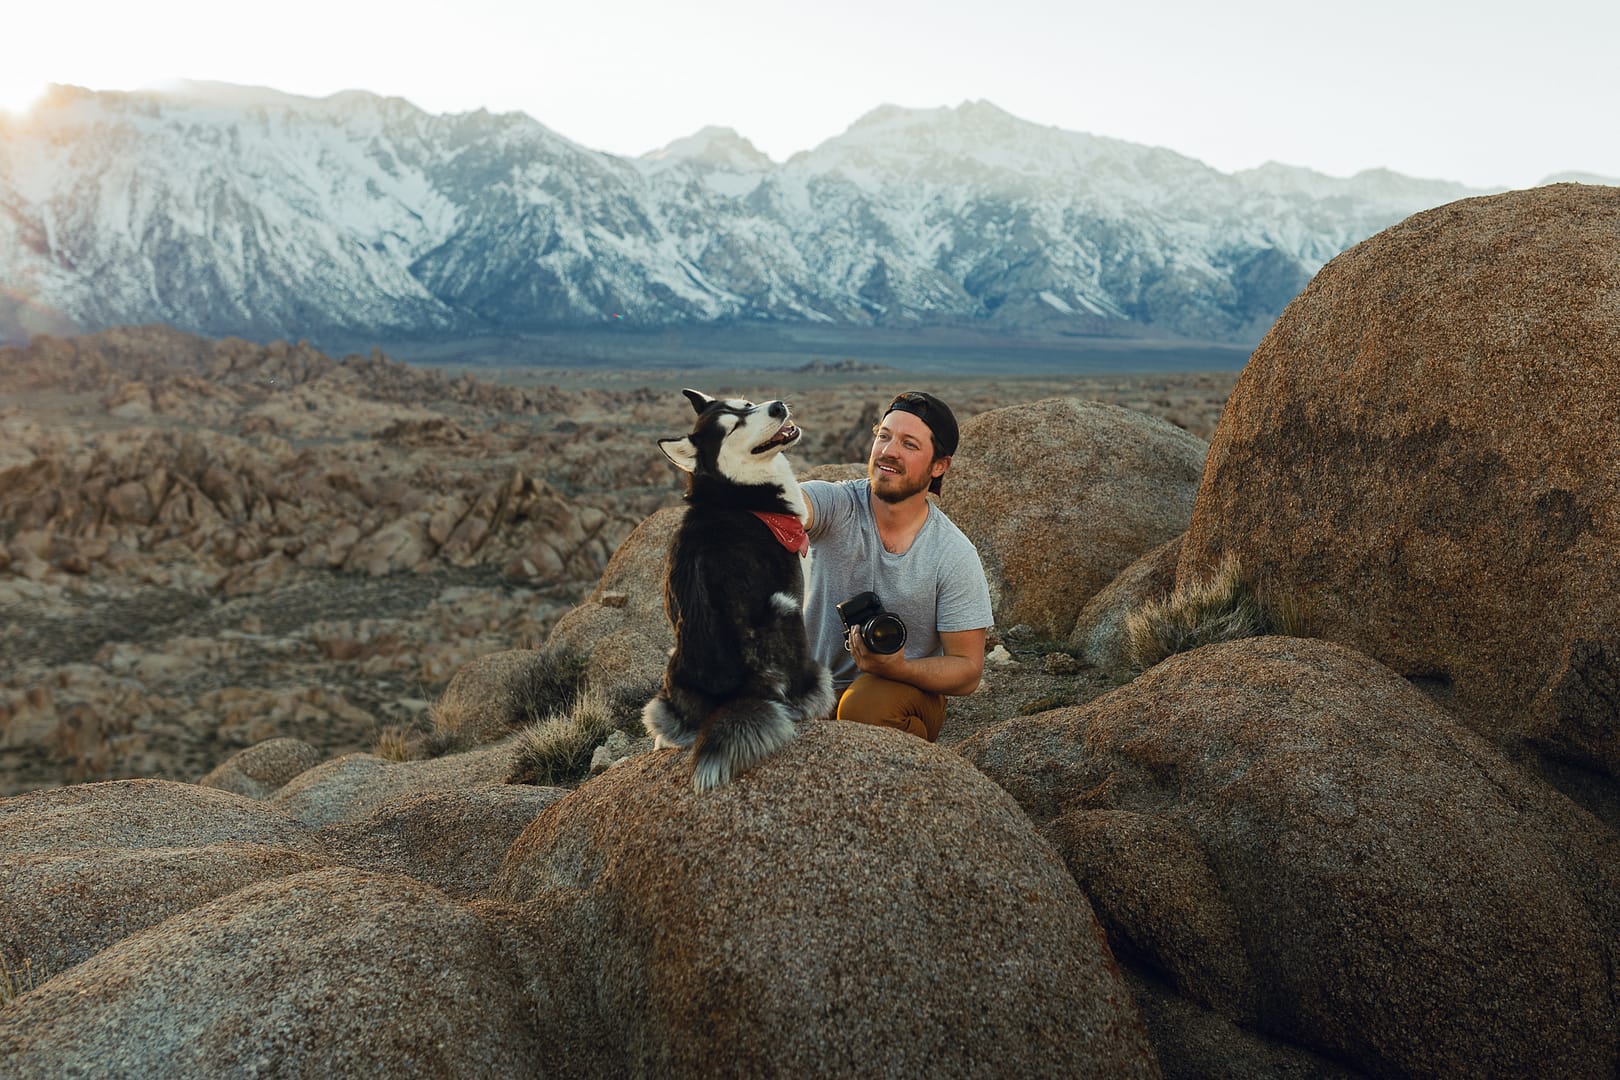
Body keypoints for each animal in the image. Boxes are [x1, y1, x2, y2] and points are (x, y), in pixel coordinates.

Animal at [638, 390, 835, 793]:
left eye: (746, 405)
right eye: (732, 429)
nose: (777, 406)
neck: (737, 494)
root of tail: (733, 696)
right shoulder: (797, 589)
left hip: (668, 674)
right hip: (786, 613)